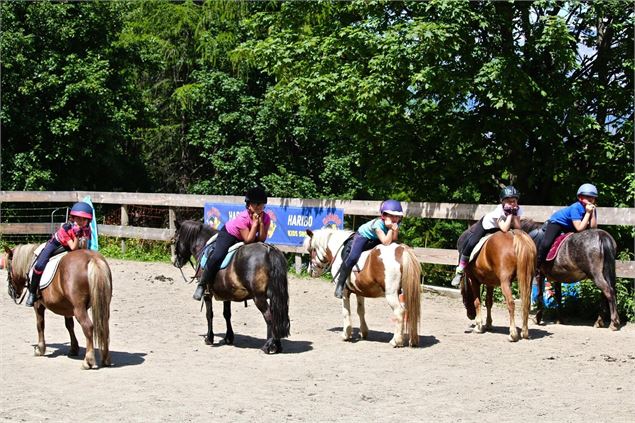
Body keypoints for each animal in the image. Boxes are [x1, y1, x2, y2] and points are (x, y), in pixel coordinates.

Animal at [171, 219, 290, 354]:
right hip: (275, 296)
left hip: (259, 297)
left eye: (174, 240)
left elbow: (209, 314)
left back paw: (268, 345)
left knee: (269, 316)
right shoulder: (226, 293)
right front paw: (229, 337)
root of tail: (269, 250)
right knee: (276, 316)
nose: (175, 262)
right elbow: (227, 314)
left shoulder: (207, 294)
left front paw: (209, 338)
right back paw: (277, 345)